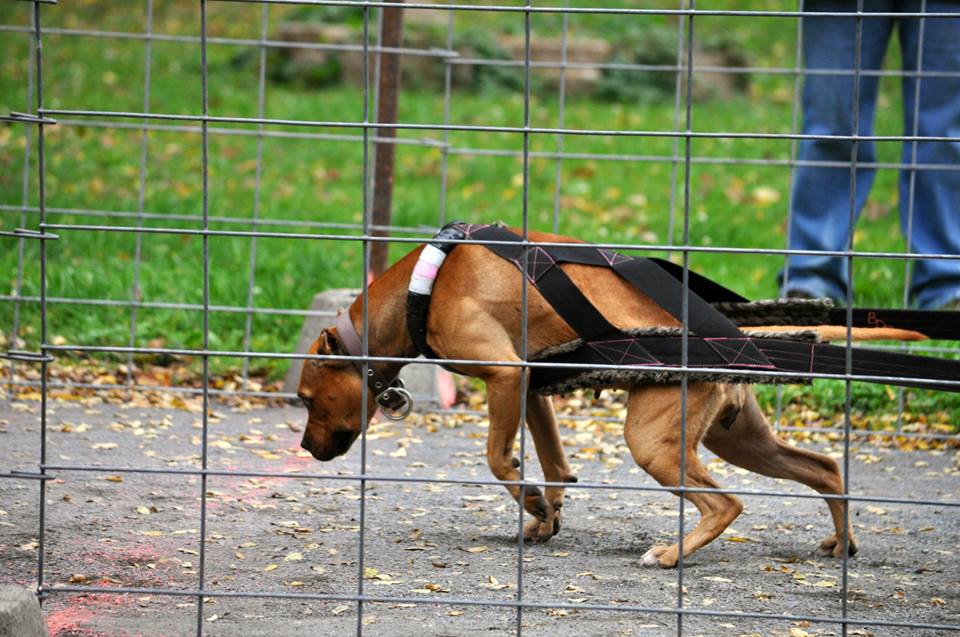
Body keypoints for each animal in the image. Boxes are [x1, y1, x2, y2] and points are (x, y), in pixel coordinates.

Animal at [298, 229, 924, 568]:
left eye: (304, 399)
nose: (304, 448)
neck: (423, 285)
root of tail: (729, 331)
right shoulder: (529, 388)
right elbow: (554, 463)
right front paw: (546, 514)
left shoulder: (505, 376)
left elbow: (500, 460)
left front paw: (531, 503)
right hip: (741, 439)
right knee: (824, 469)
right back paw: (842, 542)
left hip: (653, 442)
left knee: (725, 504)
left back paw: (671, 555)